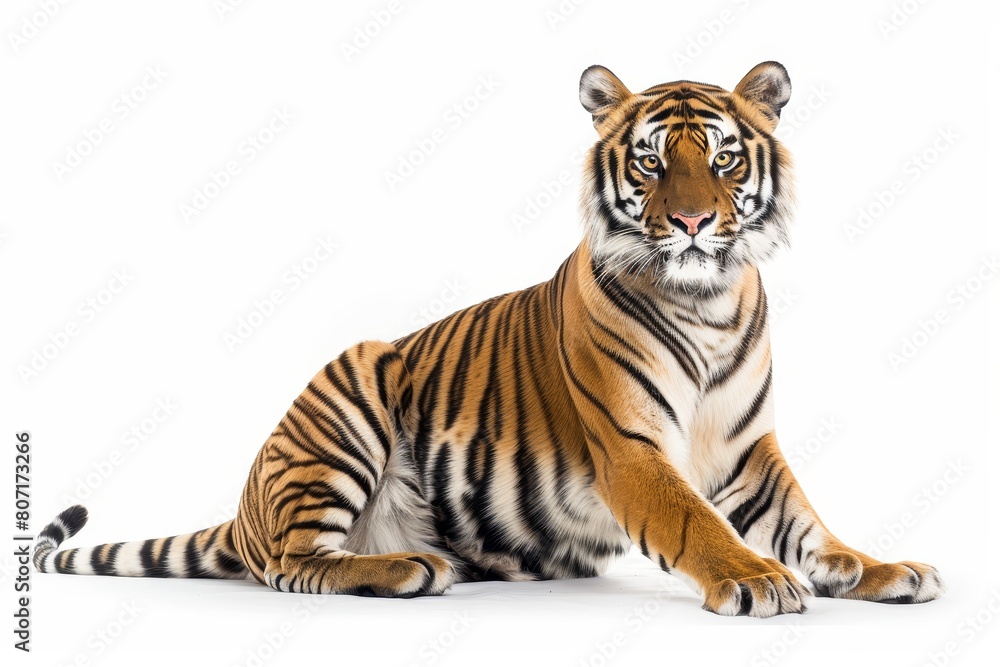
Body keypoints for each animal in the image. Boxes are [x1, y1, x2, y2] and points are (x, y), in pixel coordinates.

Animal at [34, 61, 944, 617]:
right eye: (651, 163)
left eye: (721, 161)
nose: (691, 222)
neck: (708, 299)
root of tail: (244, 510)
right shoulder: (632, 449)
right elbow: (700, 525)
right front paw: (758, 578)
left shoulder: (747, 446)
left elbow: (807, 520)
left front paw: (878, 568)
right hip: (349, 391)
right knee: (298, 563)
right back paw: (407, 569)